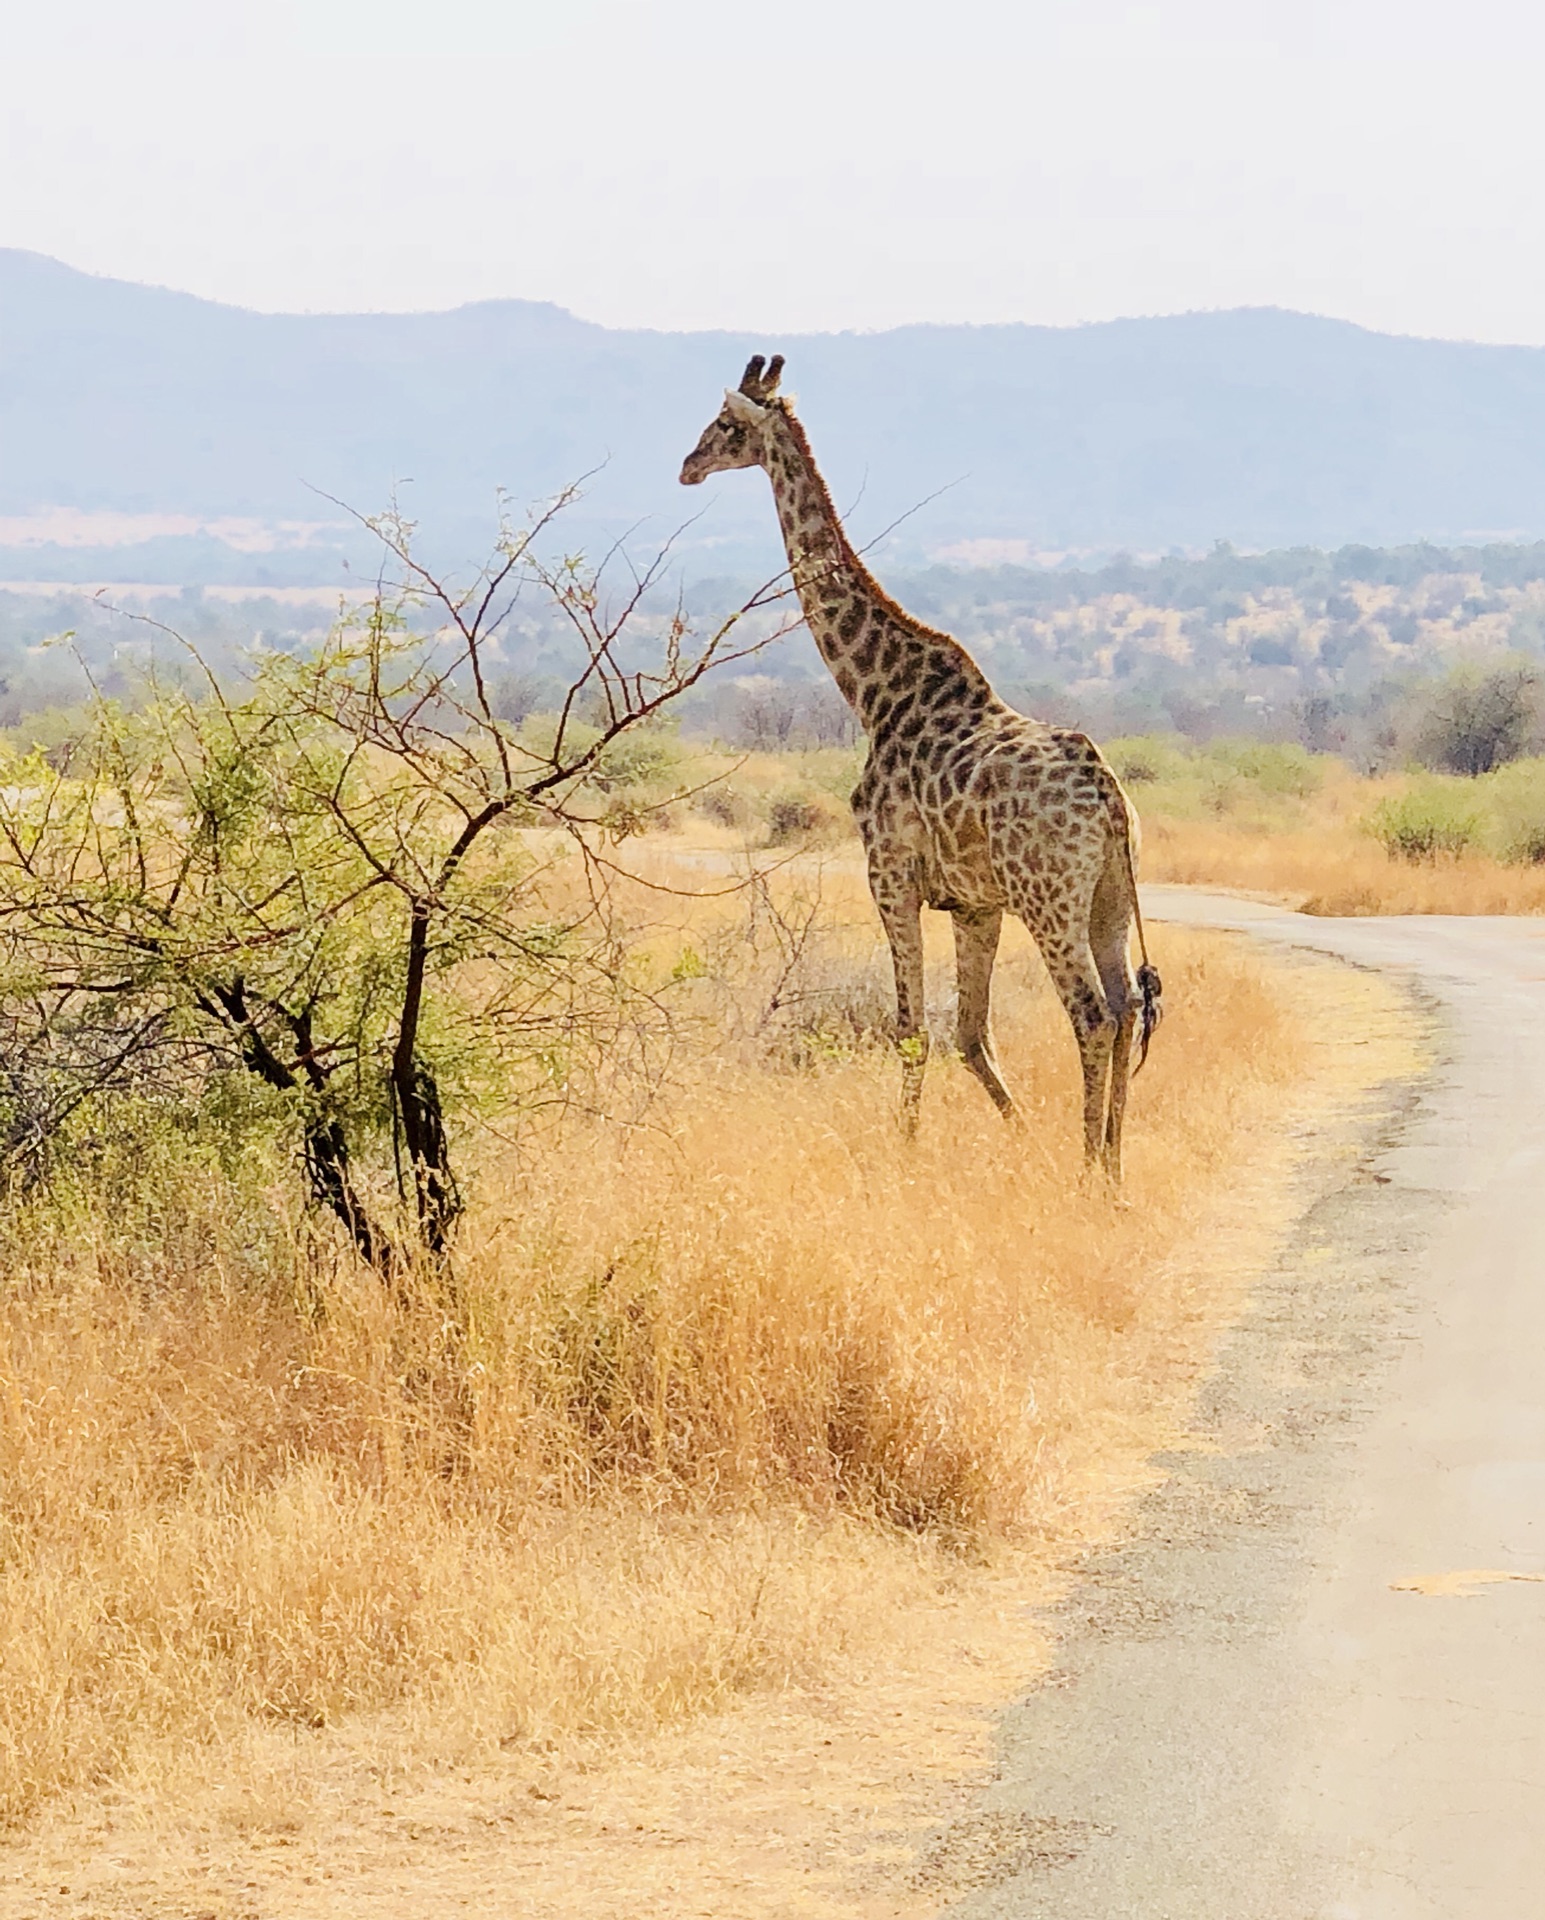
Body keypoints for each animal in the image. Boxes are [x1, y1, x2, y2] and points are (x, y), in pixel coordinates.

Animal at [675, 353, 1159, 1175]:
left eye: (727, 424)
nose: (687, 465)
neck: (874, 694)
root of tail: (1107, 797)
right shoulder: (973, 902)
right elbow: (969, 1033)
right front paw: (1021, 1138)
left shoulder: (890, 872)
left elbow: (910, 1029)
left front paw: (903, 1155)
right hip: (1106, 898)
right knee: (1126, 1009)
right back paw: (1114, 1167)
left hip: (1048, 898)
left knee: (1092, 1015)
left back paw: (1088, 1167)